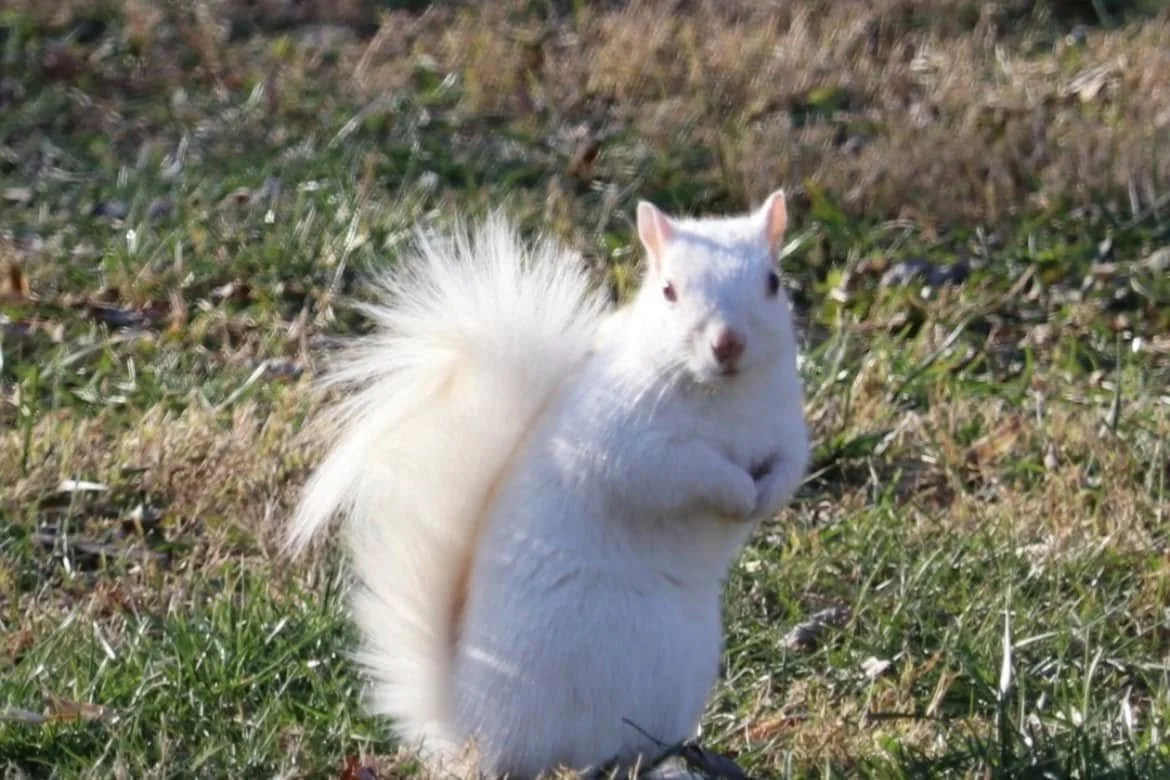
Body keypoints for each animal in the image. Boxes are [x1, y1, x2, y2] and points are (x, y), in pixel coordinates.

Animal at [288, 191, 811, 779]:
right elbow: (680, 473)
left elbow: (790, 463)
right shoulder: (628, 441)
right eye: (669, 291)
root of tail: (470, 734)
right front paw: (738, 492)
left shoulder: (787, 426)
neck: (724, 396)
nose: (728, 344)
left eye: (773, 282)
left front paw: (766, 494)